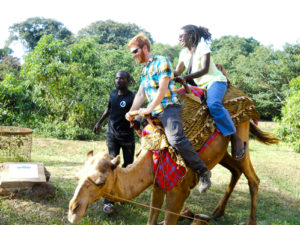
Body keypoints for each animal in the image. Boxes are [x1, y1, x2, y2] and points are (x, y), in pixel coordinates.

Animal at [68, 116, 278, 225]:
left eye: (100, 182)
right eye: (77, 177)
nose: (73, 210)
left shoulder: (179, 192)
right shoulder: (158, 185)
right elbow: (152, 220)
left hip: (241, 139)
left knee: (253, 178)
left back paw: (250, 221)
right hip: (222, 153)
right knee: (235, 171)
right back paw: (217, 212)